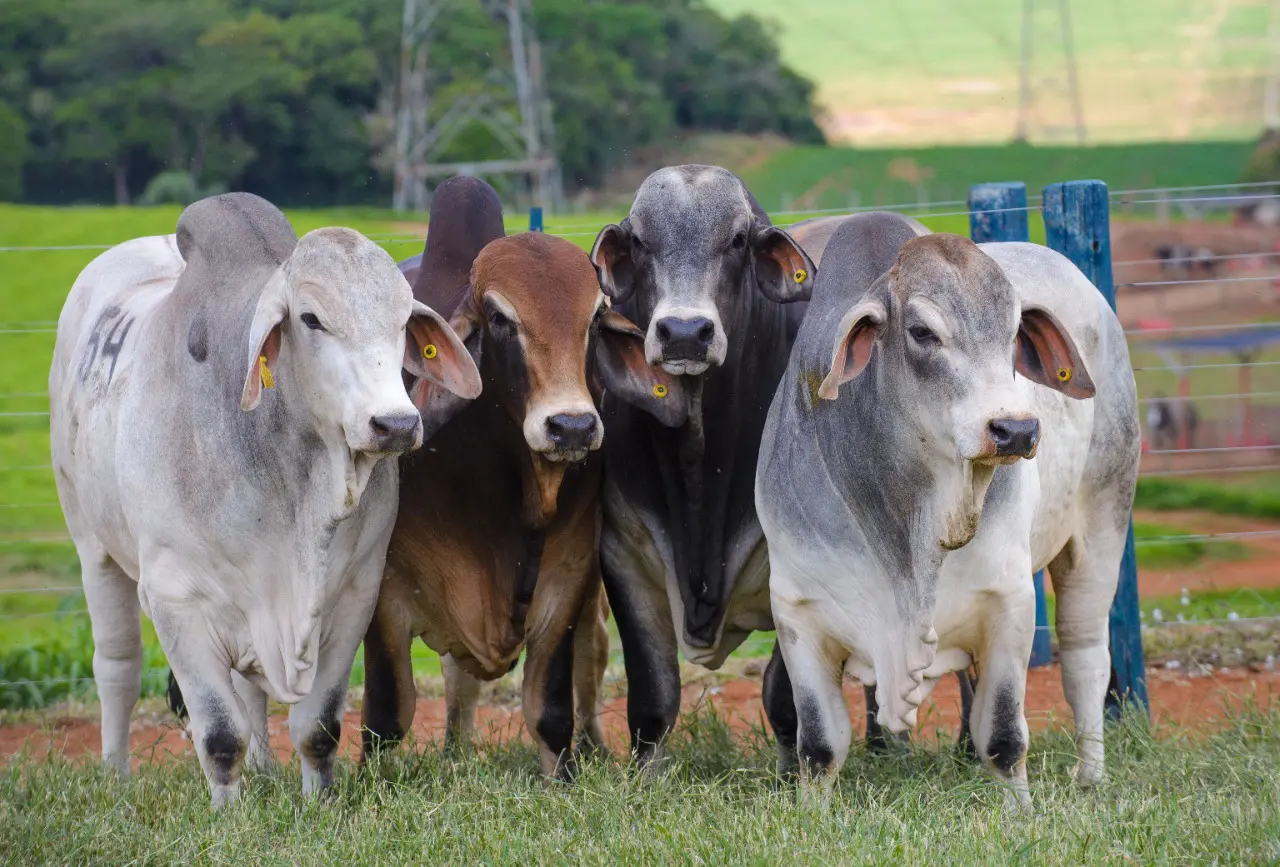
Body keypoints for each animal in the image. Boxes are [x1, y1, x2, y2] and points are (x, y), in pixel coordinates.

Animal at [47, 194, 481, 804]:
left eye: (402, 323)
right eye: (312, 319)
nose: (395, 423)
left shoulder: (354, 595)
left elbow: (317, 727)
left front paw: (318, 802)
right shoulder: (176, 602)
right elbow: (218, 734)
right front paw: (227, 812)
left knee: (249, 693)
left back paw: (265, 773)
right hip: (95, 549)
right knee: (117, 668)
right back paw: (115, 775)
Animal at [363, 178, 680, 778]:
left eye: (594, 319)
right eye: (499, 318)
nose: (572, 426)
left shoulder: (569, 575)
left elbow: (549, 708)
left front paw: (565, 776)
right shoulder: (382, 590)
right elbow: (387, 715)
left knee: (588, 663)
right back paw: (455, 753)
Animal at [586, 165, 814, 763]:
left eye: (736, 241)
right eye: (641, 241)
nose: (685, 333)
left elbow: (785, 698)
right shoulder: (622, 552)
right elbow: (653, 697)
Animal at [752, 212, 1136, 809]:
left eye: (1014, 334)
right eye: (921, 332)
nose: (1015, 430)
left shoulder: (1008, 603)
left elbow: (1003, 737)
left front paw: (1020, 814)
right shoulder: (797, 611)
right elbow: (818, 746)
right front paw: (811, 813)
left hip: (1102, 525)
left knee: (1085, 659)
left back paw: (1091, 774)